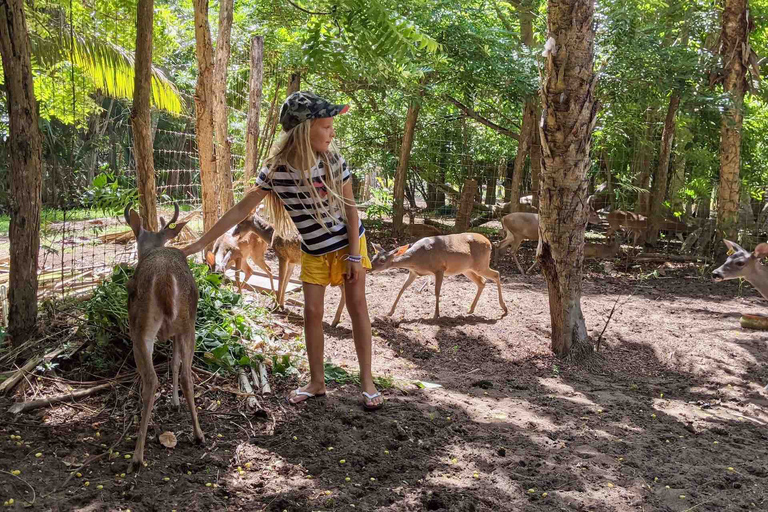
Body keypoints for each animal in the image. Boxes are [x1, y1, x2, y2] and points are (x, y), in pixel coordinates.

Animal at [122, 203, 202, 468]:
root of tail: (165, 278)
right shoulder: (178, 330)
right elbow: (175, 363)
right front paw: (176, 402)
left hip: (140, 327)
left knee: (150, 379)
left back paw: (137, 456)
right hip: (188, 323)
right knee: (187, 374)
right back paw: (199, 435)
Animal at [368, 233, 508, 320]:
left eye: (382, 260)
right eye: (373, 257)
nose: (369, 268)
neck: (417, 260)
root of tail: (489, 243)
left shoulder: (439, 268)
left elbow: (437, 292)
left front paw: (436, 314)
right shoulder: (414, 272)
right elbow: (402, 289)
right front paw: (390, 312)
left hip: (481, 264)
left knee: (496, 274)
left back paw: (504, 308)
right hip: (467, 269)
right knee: (482, 281)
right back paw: (470, 309)